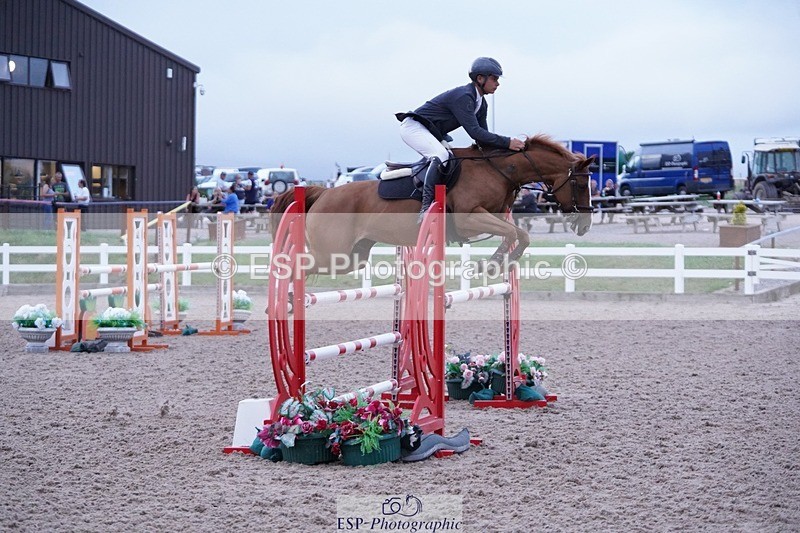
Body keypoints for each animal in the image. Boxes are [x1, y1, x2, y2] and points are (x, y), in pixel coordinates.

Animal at [270, 135, 594, 275]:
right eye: (580, 184)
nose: (585, 224)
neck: (499, 169)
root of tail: (322, 194)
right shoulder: (469, 219)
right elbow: (515, 233)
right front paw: (490, 265)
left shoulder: (493, 217)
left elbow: (519, 234)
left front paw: (497, 264)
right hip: (331, 252)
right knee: (296, 266)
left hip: (351, 257)